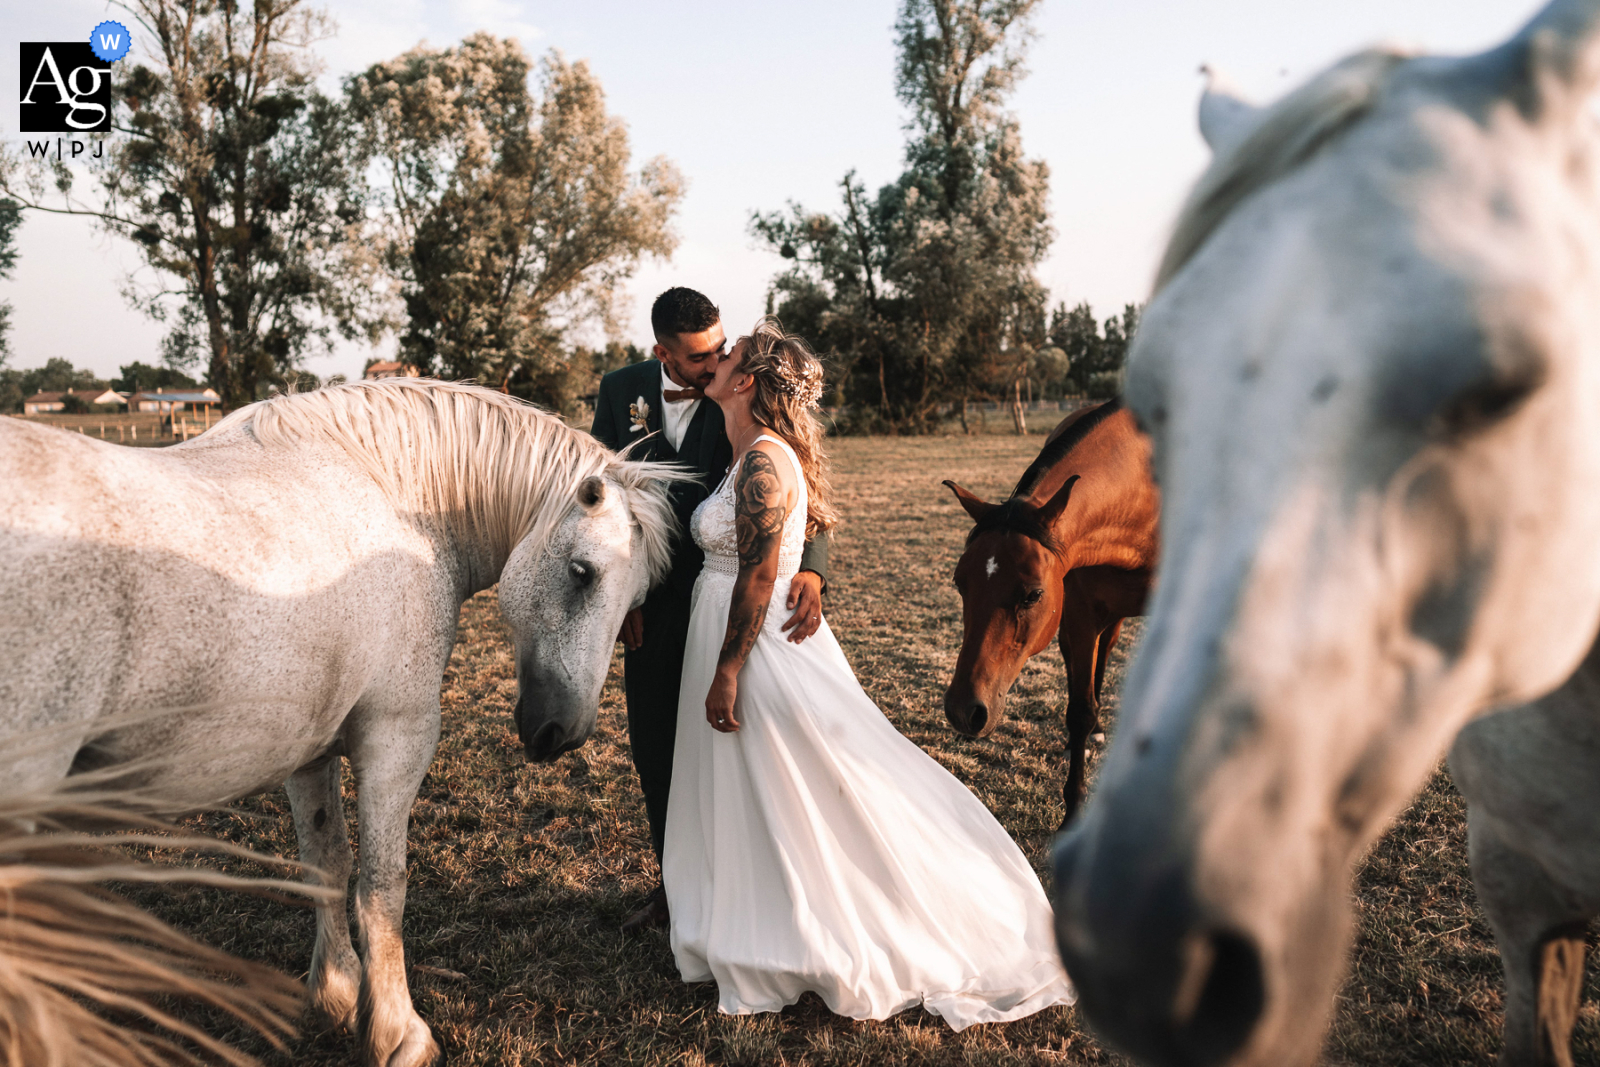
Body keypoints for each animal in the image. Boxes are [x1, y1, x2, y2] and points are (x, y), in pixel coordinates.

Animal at [0, 379, 686, 1067]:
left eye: (637, 603)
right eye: (582, 572)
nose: (560, 733)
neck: (397, 501)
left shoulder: (310, 749)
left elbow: (325, 864)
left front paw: (335, 994)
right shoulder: (396, 737)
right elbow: (383, 887)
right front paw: (397, 1033)